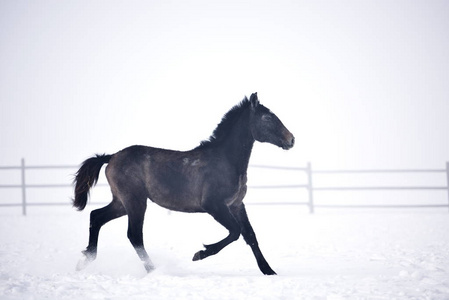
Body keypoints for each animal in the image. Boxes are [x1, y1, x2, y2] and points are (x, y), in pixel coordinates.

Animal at [73, 92, 294, 276]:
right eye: (267, 118)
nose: (291, 139)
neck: (225, 160)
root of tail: (111, 157)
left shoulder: (237, 205)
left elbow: (250, 235)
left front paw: (269, 271)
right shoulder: (214, 205)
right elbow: (235, 232)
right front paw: (200, 253)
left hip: (121, 203)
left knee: (96, 216)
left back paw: (85, 261)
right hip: (135, 202)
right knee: (134, 235)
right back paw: (153, 270)